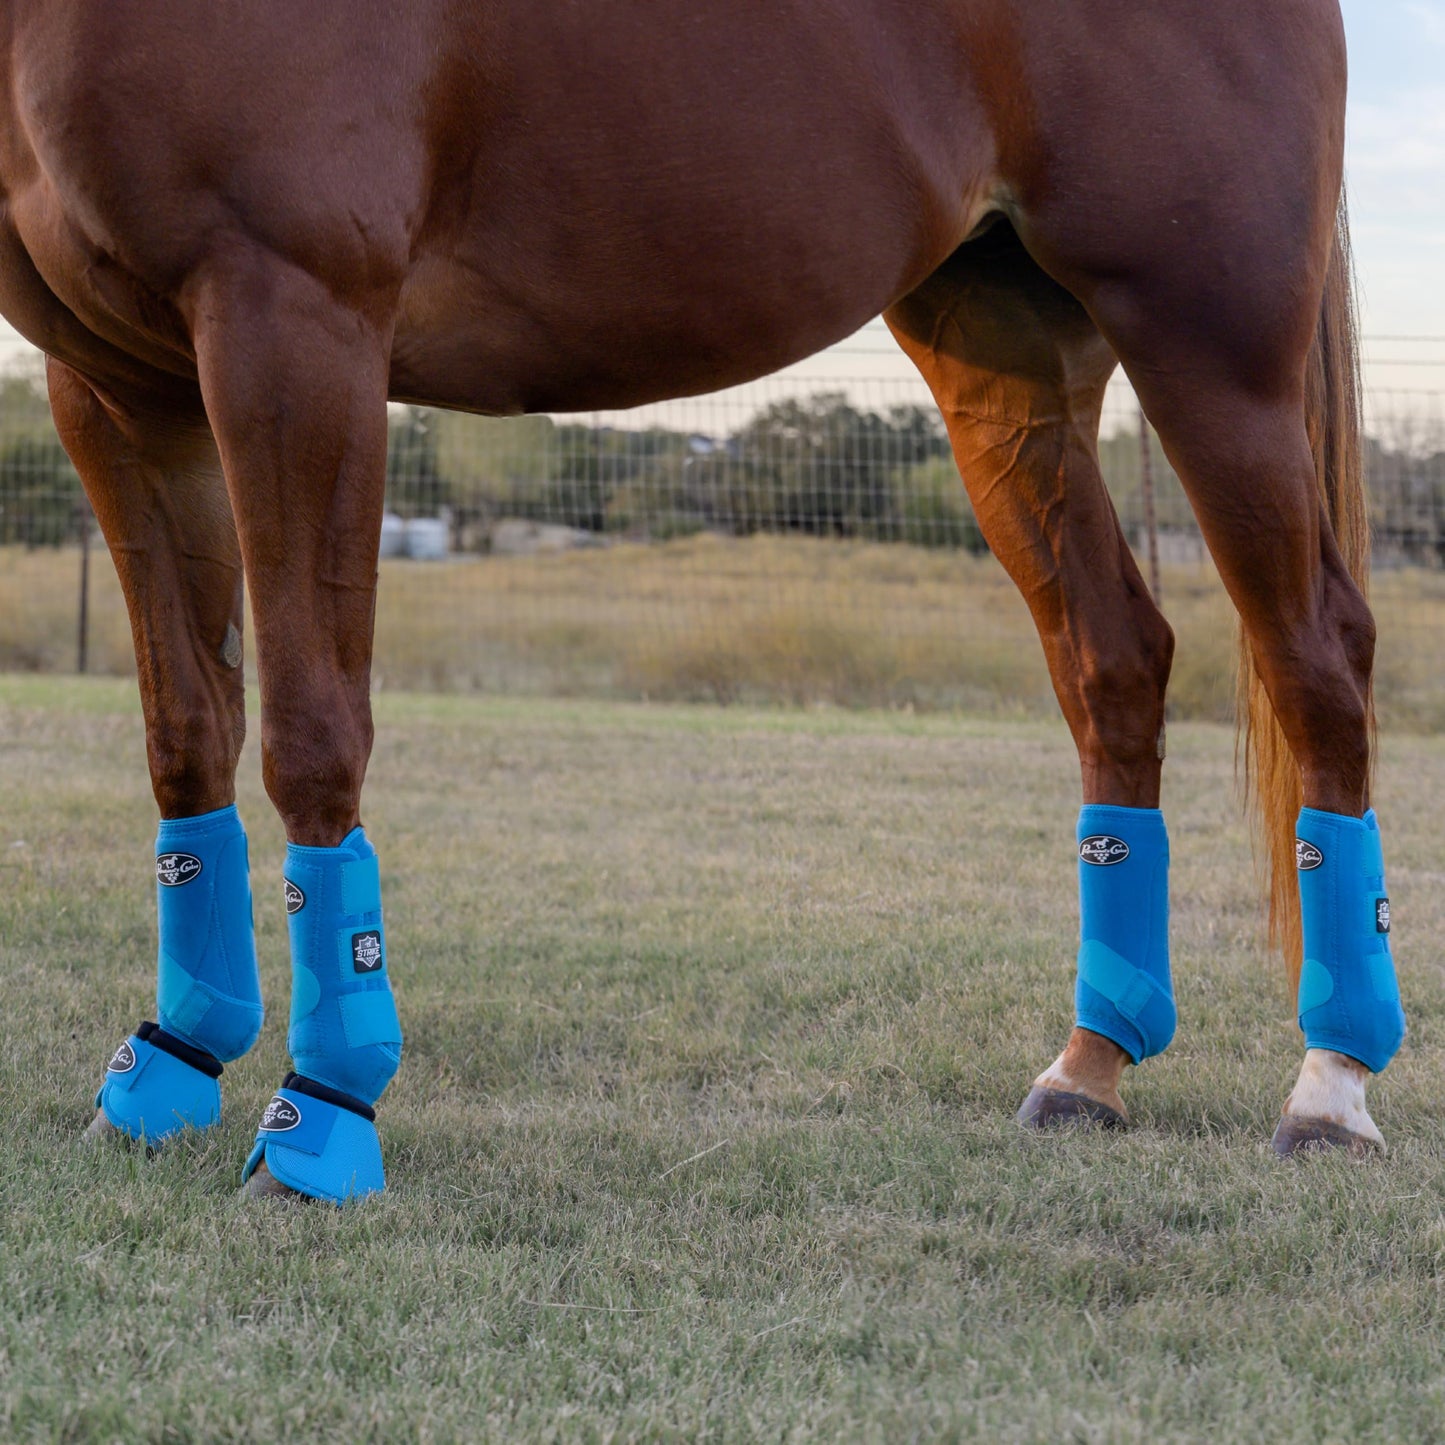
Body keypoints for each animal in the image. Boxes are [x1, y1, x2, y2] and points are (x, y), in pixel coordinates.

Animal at [0, 0, 1402, 1201]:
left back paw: (1329, 1088)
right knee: (1112, 657)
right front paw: (169, 1063)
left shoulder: (292, 323)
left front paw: (319, 1115)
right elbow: (186, 729)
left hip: (1211, 348)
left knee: (1315, 656)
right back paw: (1087, 1066)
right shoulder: (116, 385)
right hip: (1007, 363)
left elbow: (307, 731)